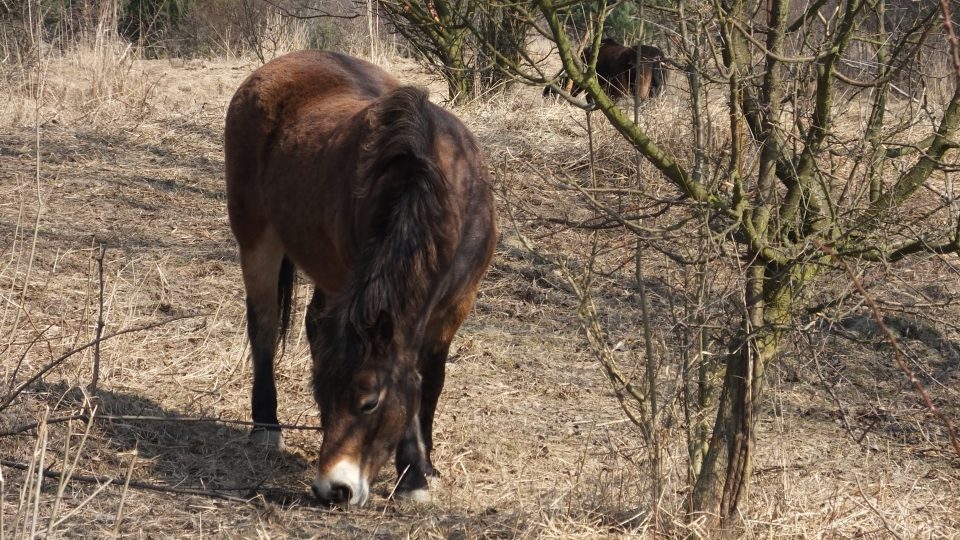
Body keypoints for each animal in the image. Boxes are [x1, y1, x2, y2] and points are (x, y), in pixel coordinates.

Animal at [223, 50, 496, 506]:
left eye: (369, 403)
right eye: (322, 394)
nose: (333, 489)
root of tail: (269, 72)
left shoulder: (457, 304)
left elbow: (430, 380)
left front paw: (425, 466)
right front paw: (412, 475)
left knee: (313, 323)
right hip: (257, 239)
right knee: (263, 328)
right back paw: (266, 427)